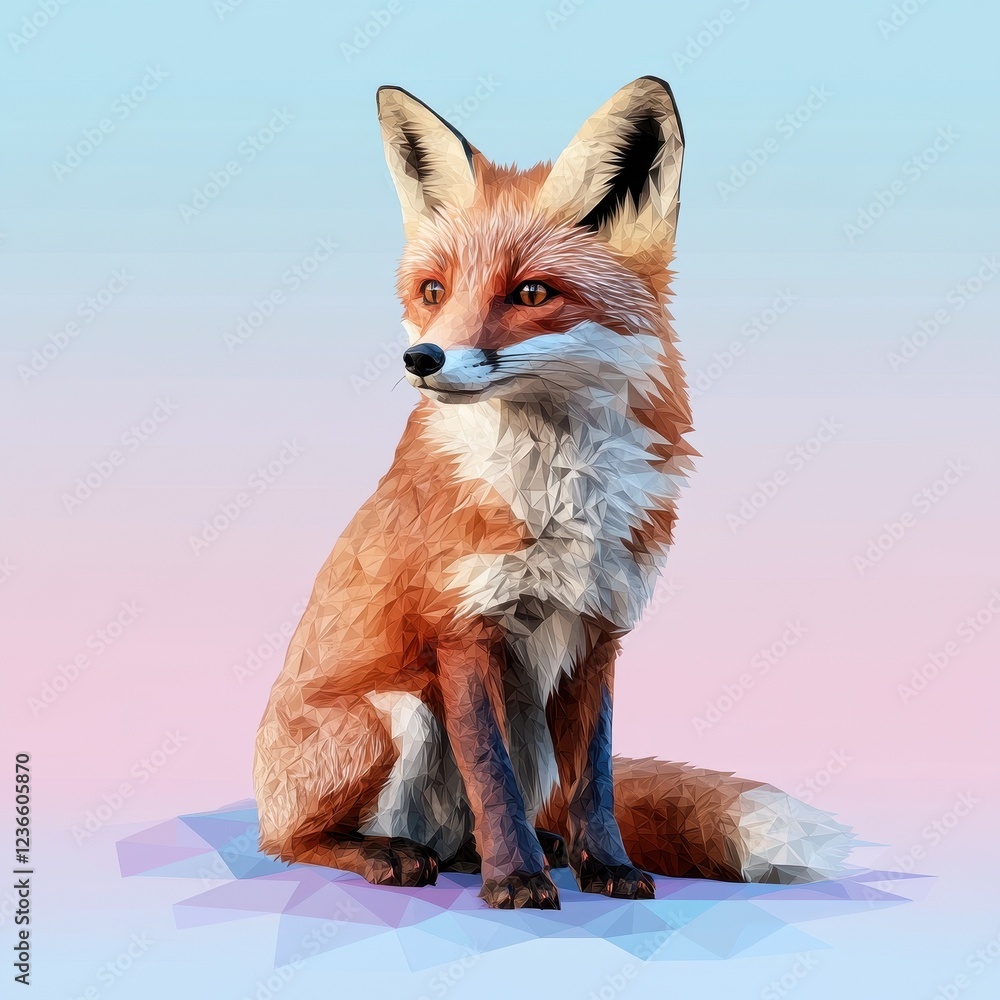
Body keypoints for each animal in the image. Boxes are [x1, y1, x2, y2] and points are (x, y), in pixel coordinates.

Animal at [253, 77, 853, 910]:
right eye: (433, 290)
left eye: (532, 292)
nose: (421, 358)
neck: (562, 491)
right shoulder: (463, 629)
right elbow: (491, 777)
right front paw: (516, 883)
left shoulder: (600, 631)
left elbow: (594, 781)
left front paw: (605, 865)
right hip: (398, 713)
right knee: (298, 842)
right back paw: (393, 855)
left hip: (527, 723)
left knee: (488, 821)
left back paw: (521, 850)